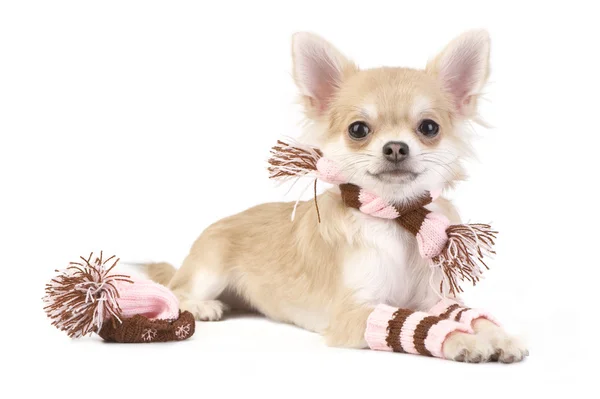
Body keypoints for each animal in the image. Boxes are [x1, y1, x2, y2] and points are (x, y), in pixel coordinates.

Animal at [148, 30, 528, 362]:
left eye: (429, 127)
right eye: (358, 129)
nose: (396, 147)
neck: (397, 220)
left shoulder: (433, 296)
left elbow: (465, 313)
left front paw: (499, 335)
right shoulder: (356, 313)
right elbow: (420, 322)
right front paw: (464, 340)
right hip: (208, 272)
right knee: (176, 291)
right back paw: (201, 306)